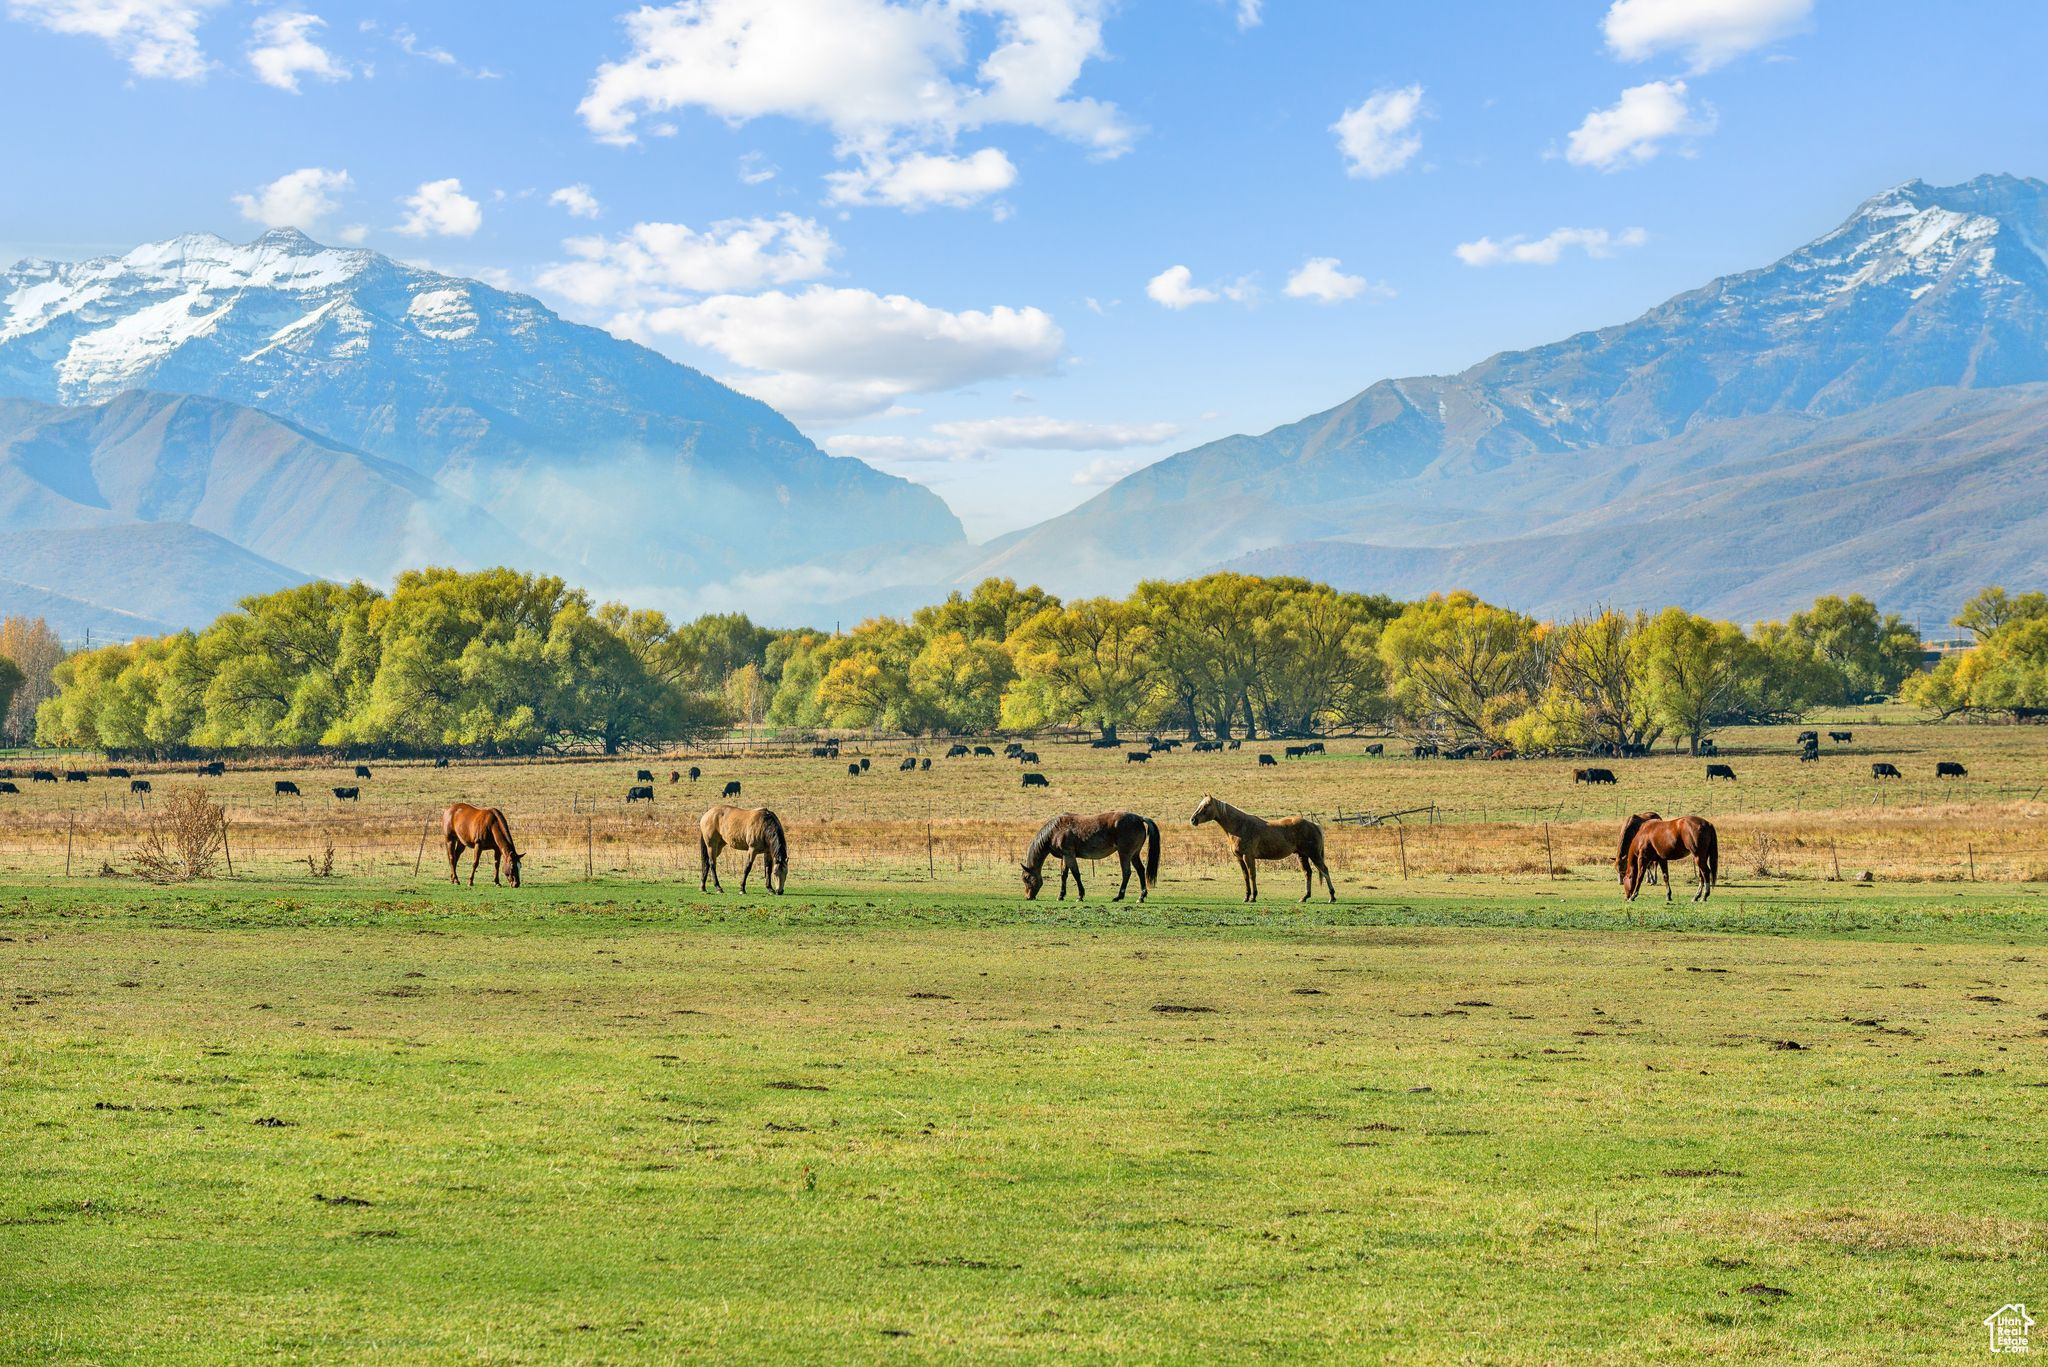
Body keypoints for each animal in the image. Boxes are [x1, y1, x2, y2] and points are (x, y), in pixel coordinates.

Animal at [1019, 807, 1155, 901]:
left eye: (1026, 878)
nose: (1028, 897)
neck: (1055, 830)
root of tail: (1139, 818)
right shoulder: (1066, 856)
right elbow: (1064, 875)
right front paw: (1061, 896)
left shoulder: (1069, 854)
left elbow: (1076, 874)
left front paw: (1080, 896)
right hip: (1134, 855)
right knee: (1140, 870)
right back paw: (1141, 897)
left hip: (1125, 854)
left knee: (1126, 873)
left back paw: (1119, 896)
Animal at [1196, 791, 1335, 909]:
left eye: (1206, 806)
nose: (1193, 819)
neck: (1240, 826)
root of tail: (1313, 825)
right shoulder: (1239, 858)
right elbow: (1245, 876)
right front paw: (1246, 897)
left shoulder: (1248, 856)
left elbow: (1252, 875)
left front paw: (1253, 897)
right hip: (1302, 856)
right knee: (1308, 873)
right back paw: (1305, 897)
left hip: (1314, 855)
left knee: (1324, 871)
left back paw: (1332, 897)